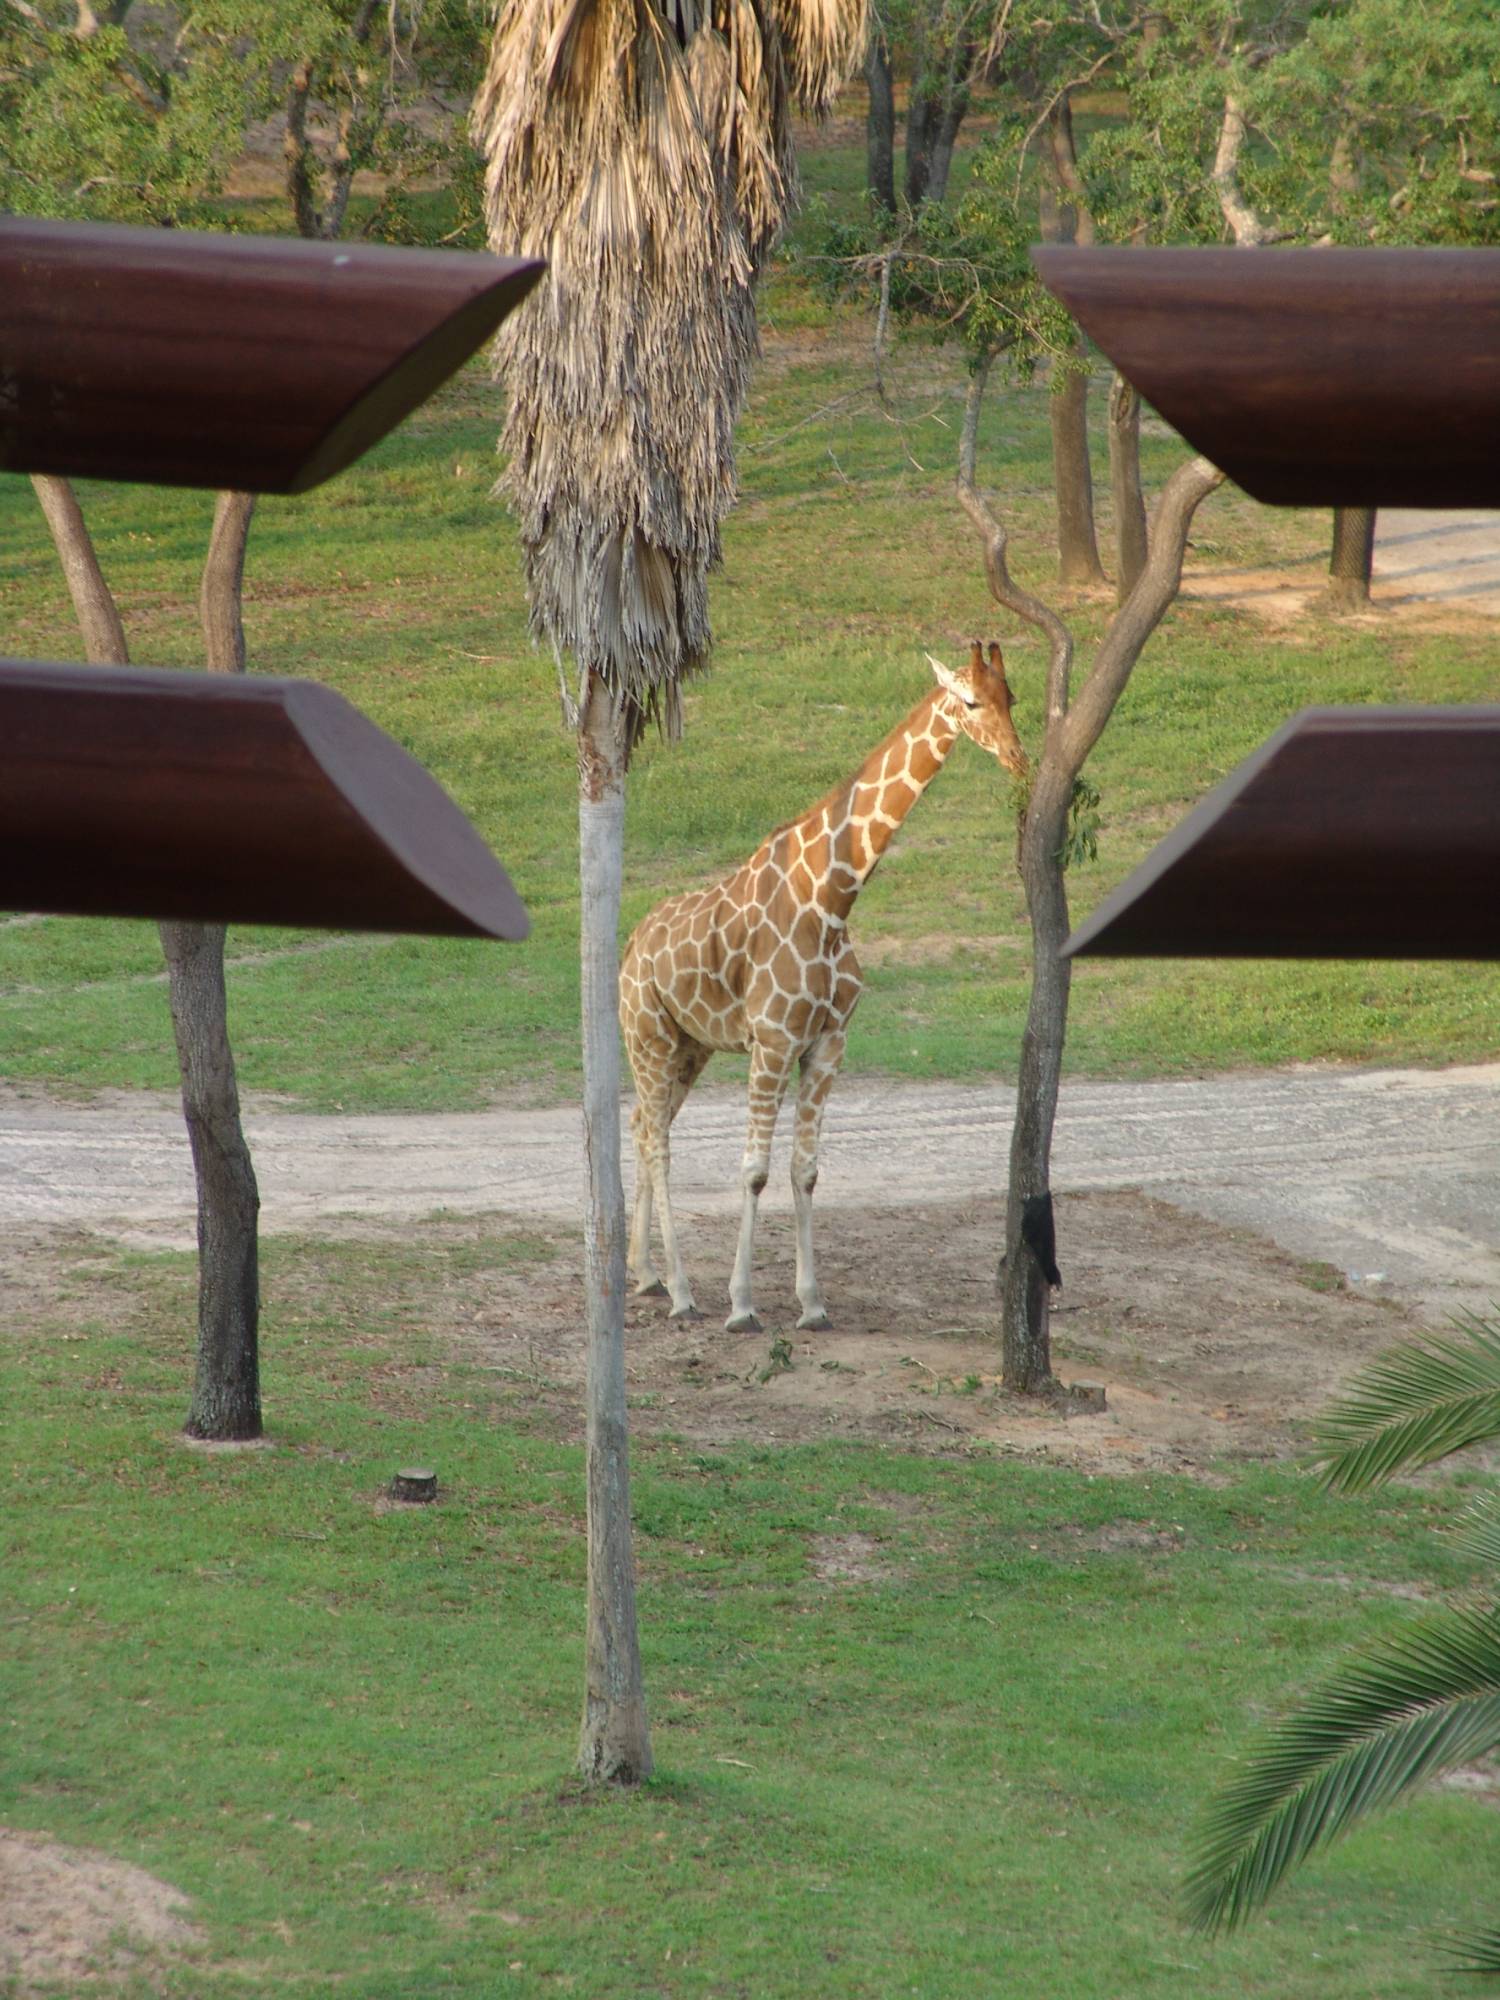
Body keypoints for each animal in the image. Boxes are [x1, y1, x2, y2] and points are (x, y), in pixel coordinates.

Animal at [616, 640, 1032, 1328]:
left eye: (1012, 697)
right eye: (971, 701)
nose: (1018, 759)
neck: (833, 900)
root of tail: (630, 947)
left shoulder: (828, 1044)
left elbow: (805, 1170)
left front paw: (812, 1304)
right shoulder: (773, 1042)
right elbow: (754, 1170)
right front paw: (742, 1305)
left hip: (689, 1045)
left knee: (643, 1127)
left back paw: (644, 1273)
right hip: (646, 1037)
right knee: (657, 1142)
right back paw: (681, 1291)